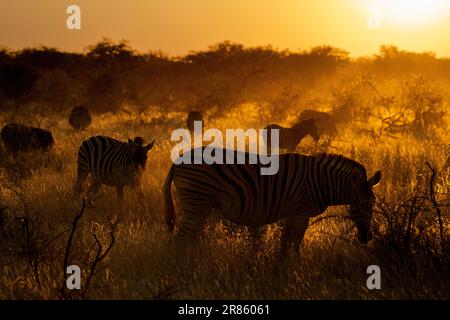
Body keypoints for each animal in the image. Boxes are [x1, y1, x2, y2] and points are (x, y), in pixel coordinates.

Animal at [163, 149, 382, 256]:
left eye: (373, 204)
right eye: (357, 205)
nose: (366, 238)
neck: (320, 181)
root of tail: (178, 159)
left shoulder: (293, 213)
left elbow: (285, 243)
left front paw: (280, 270)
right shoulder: (301, 211)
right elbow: (295, 243)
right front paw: (296, 268)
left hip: (202, 204)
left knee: (191, 237)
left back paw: (195, 264)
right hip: (196, 199)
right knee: (181, 238)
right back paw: (183, 267)